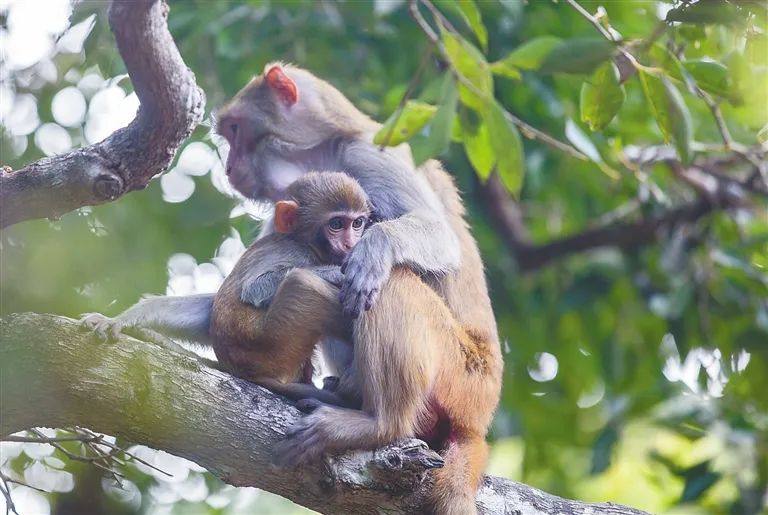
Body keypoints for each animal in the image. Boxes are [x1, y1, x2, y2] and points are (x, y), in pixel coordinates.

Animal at [82, 171, 372, 410]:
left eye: (356, 223)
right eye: (336, 224)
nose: (350, 244)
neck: (302, 240)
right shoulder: (295, 252)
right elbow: (255, 289)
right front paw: (339, 272)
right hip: (275, 344)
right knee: (299, 284)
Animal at [218, 64, 504, 515]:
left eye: (234, 129)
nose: (229, 168)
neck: (328, 146)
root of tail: (480, 417)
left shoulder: (369, 153)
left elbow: (438, 236)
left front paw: (373, 249)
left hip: (462, 376)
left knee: (393, 281)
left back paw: (378, 423)